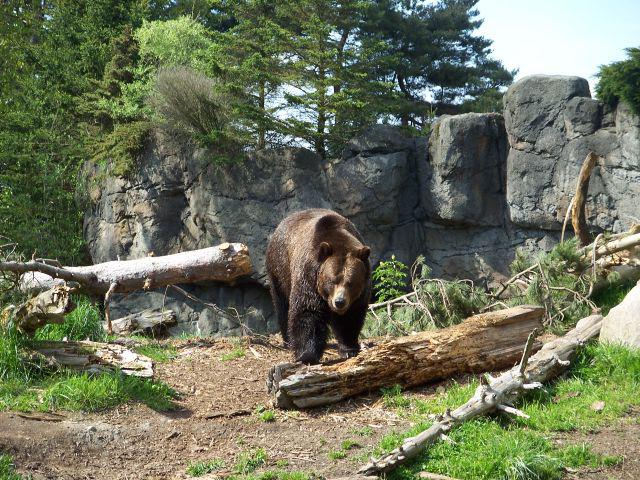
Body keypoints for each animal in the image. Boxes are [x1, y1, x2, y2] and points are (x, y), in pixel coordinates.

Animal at [268, 208, 372, 362]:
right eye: (332, 280)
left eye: (351, 282)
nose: (339, 302)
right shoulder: (309, 276)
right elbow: (308, 312)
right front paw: (306, 355)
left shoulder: (360, 294)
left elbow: (350, 317)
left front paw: (349, 349)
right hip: (279, 269)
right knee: (281, 304)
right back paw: (288, 341)